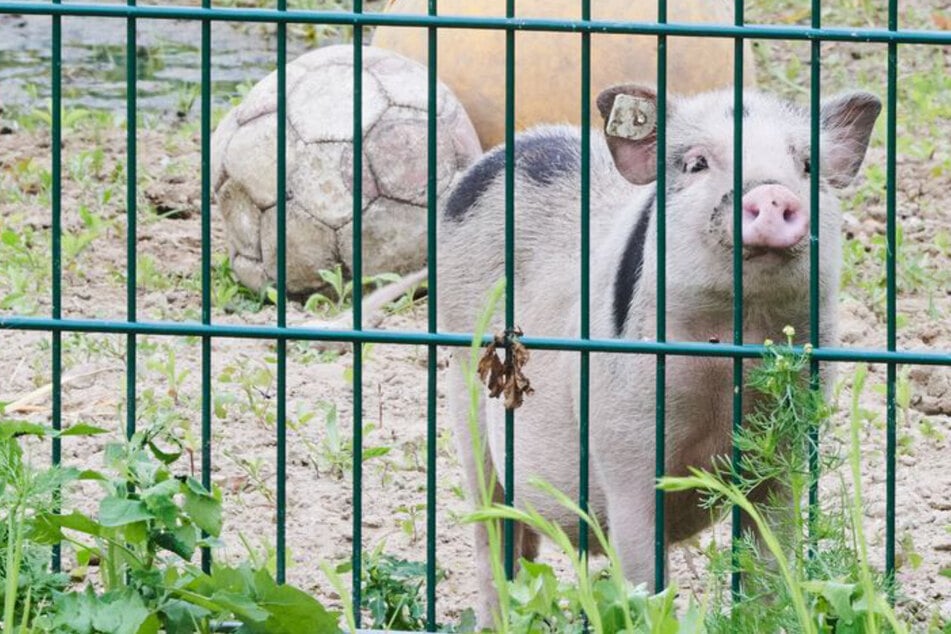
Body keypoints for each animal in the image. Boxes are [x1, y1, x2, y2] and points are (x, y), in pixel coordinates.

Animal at [436, 83, 881, 626]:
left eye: (808, 165)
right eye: (696, 164)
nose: (772, 192)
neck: (728, 357)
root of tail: (501, 154)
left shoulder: (788, 444)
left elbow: (768, 557)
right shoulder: (624, 440)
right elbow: (644, 574)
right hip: (464, 383)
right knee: (490, 528)